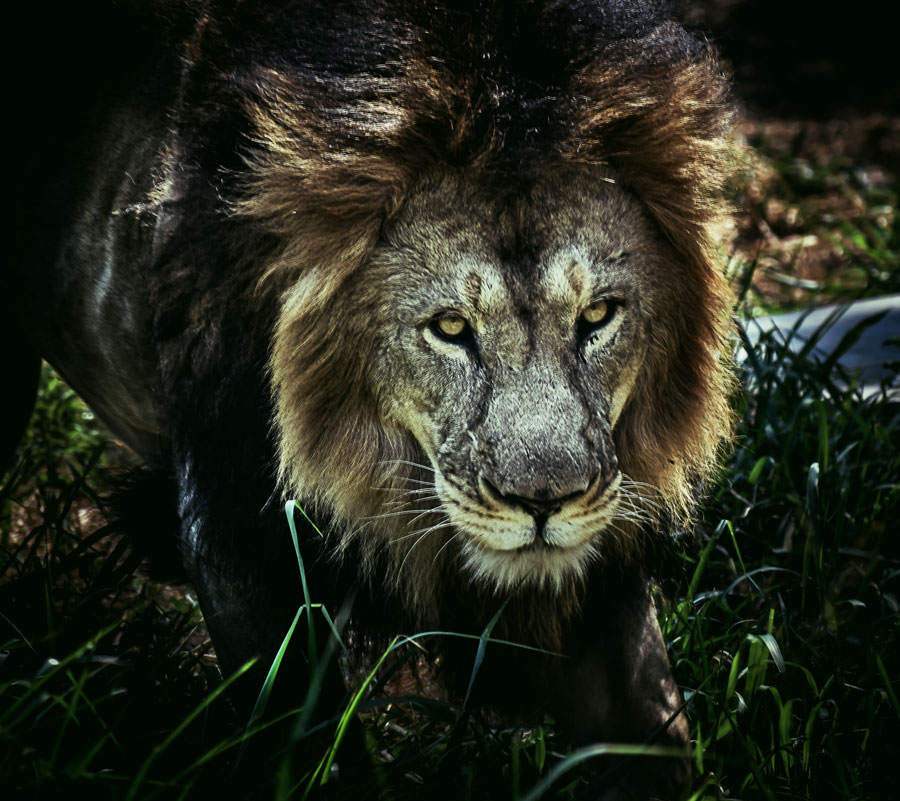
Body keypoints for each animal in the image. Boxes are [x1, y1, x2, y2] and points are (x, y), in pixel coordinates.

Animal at [3, 1, 736, 797]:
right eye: (451, 328)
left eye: (598, 315)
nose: (544, 503)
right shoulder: (236, 545)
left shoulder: (603, 575)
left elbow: (658, 738)